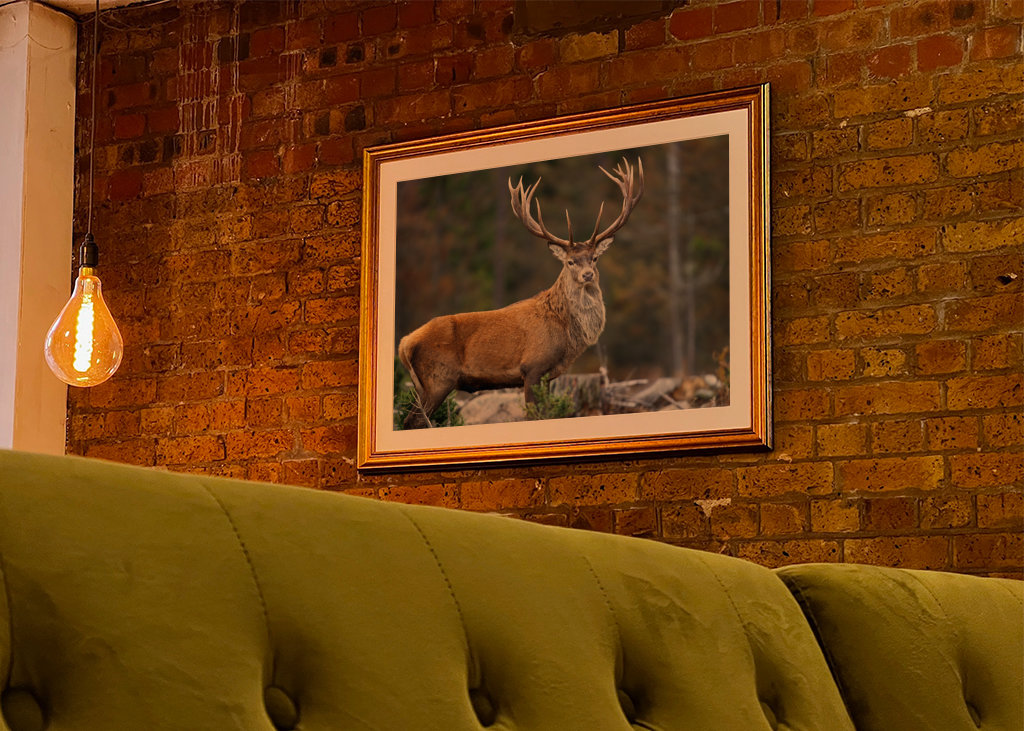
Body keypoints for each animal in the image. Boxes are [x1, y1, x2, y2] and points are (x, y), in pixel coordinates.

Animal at [397, 156, 644, 429]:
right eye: (570, 261)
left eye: (595, 258)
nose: (588, 275)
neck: (567, 336)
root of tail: (404, 343)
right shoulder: (532, 367)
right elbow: (534, 415)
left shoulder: (549, 376)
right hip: (437, 378)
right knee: (412, 421)